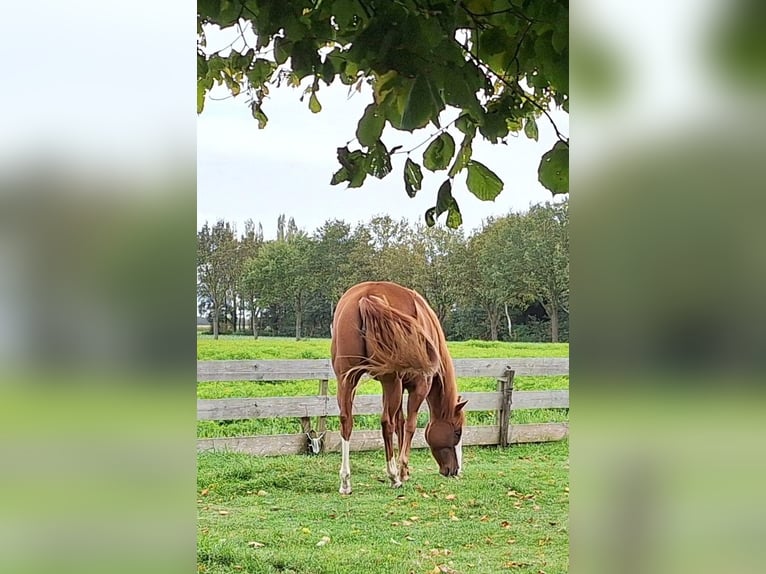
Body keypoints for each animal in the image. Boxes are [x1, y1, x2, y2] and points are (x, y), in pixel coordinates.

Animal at [330, 282, 468, 496]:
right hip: (390, 380)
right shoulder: (419, 386)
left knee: (346, 421)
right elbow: (409, 425)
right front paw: (403, 471)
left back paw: (345, 481)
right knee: (386, 422)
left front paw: (406, 470)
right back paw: (393, 476)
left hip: (347, 379)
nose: (455, 470)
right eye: (457, 432)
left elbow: (400, 423)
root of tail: (367, 296)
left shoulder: (394, 386)